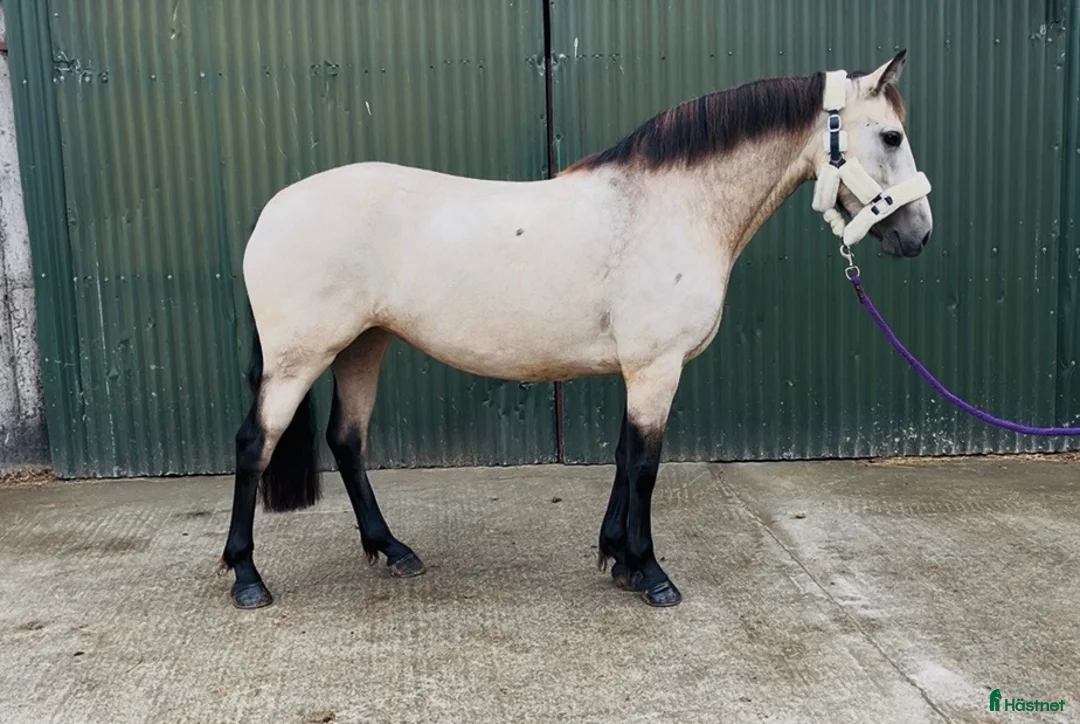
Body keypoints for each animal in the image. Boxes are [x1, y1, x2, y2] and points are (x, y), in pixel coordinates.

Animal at [217, 51, 933, 609]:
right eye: (892, 137)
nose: (917, 235)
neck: (672, 207)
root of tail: (273, 210)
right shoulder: (655, 367)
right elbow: (644, 465)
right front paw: (651, 574)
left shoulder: (637, 369)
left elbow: (622, 456)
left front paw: (617, 559)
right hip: (300, 357)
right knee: (255, 443)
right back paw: (247, 578)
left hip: (363, 345)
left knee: (347, 441)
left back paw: (392, 550)